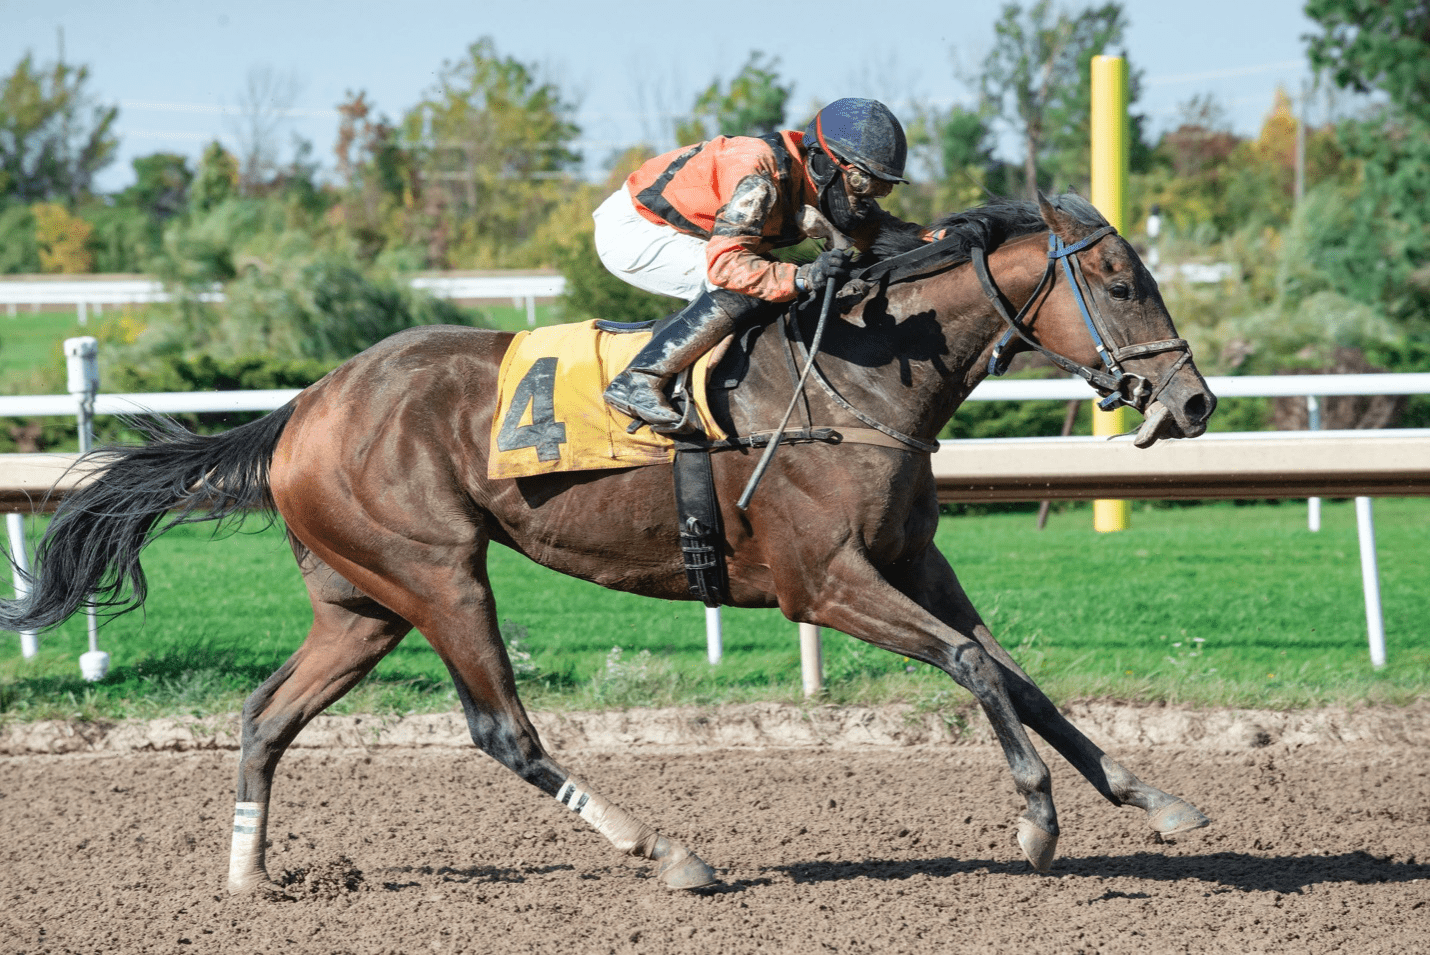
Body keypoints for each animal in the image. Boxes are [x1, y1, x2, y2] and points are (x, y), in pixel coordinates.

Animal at [2, 193, 1217, 893]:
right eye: (1120, 280)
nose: (1194, 401)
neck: (861, 375)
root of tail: (303, 406)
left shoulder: (916, 562)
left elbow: (1019, 676)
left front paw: (1155, 798)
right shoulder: (820, 582)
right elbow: (972, 664)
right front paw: (1036, 822)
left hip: (362, 604)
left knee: (265, 715)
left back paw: (250, 879)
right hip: (438, 574)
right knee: (502, 729)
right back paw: (667, 852)